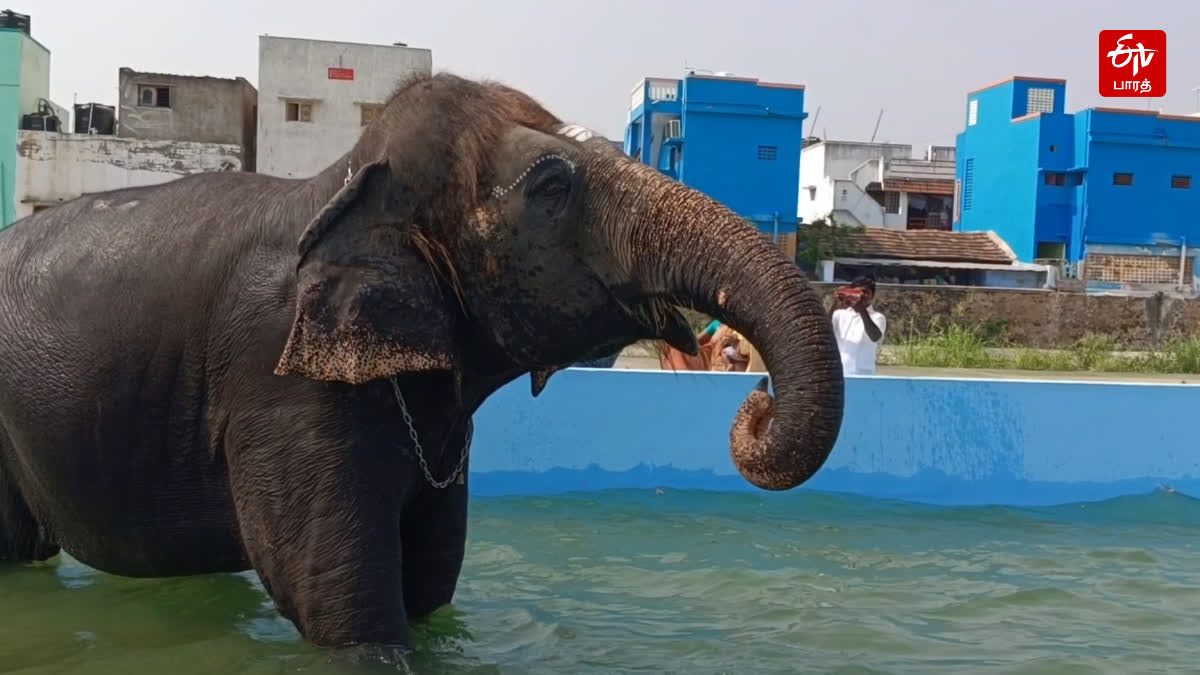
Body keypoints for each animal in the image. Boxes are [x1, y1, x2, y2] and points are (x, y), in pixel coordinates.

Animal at [0, 70, 849, 648]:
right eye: (552, 184)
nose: (754, 397)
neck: (341, 184)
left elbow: (432, 582)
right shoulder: (278, 387)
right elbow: (338, 604)